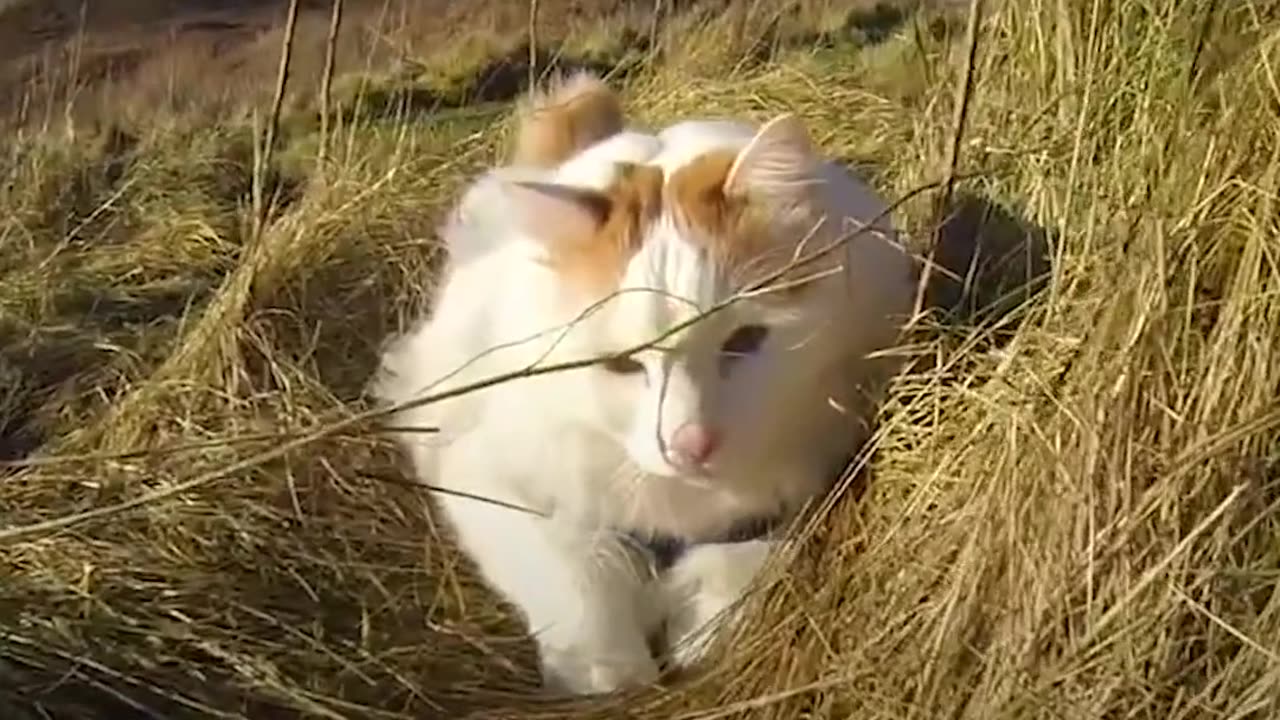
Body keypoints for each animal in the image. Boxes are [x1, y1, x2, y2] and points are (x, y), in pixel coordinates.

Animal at [371, 74, 921, 696]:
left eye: (745, 341)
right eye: (622, 366)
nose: (691, 443)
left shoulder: (810, 484)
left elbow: (741, 566)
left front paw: (699, 634)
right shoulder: (482, 475)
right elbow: (576, 572)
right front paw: (608, 670)